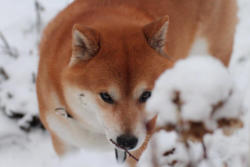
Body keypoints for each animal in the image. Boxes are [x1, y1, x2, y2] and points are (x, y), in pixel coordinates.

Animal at [36, 0, 237, 164]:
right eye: (105, 96)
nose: (127, 141)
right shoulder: (63, 142)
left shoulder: (139, 142)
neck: (94, 128)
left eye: (146, 94)